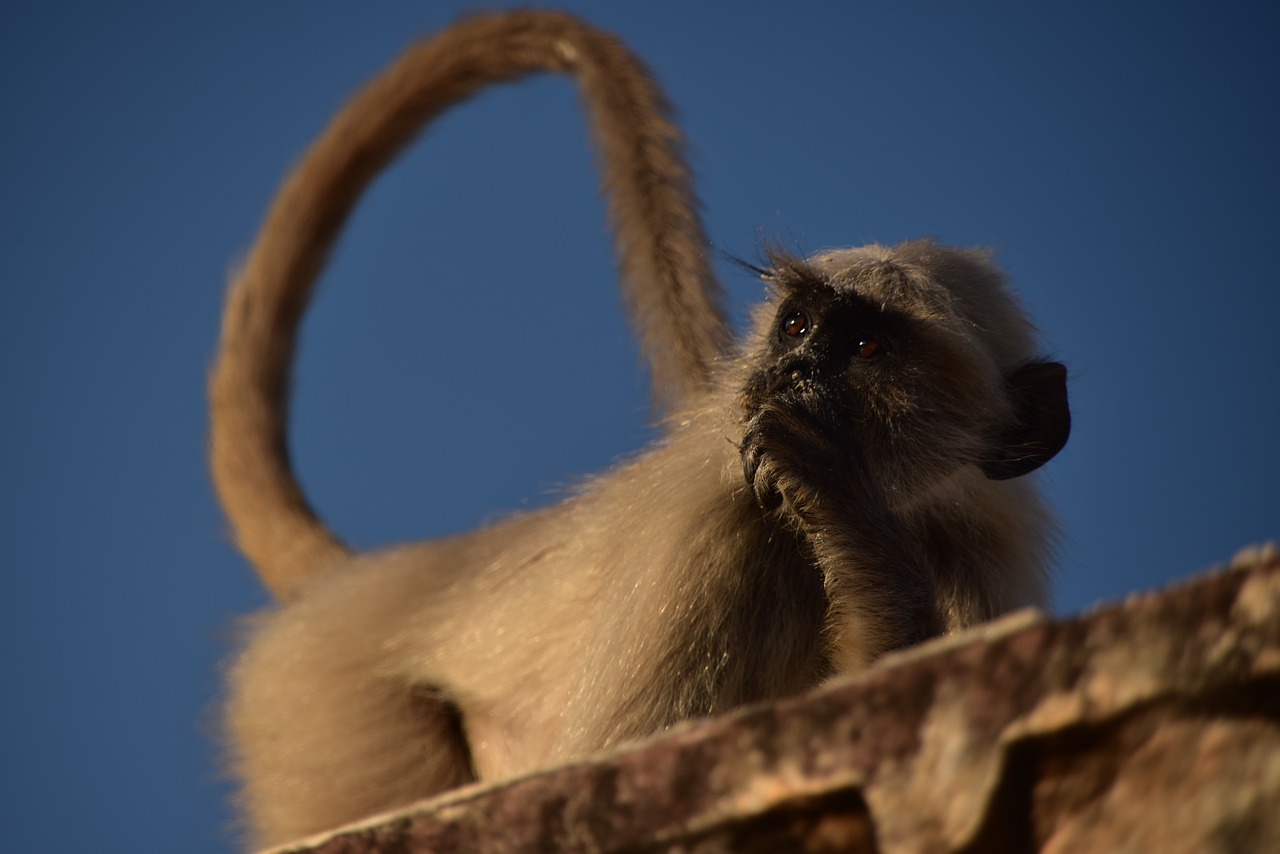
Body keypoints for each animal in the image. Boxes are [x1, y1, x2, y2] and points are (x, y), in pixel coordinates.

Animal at [212, 6, 1070, 850]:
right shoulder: (717, 526)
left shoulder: (984, 555)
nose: (791, 372)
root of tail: (375, 582)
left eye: (864, 349)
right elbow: (618, 756)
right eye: (796, 327)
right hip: (332, 719)